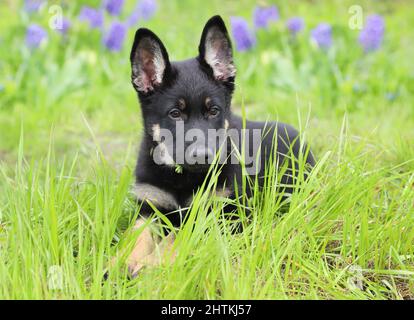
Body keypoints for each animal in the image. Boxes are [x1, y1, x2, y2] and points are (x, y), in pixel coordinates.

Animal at [121, 14, 316, 276]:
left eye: (213, 111)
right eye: (175, 114)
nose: (203, 155)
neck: (181, 177)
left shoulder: (220, 214)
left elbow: (177, 236)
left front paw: (151, 263)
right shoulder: (150, 209)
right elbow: (135, 237)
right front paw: (120, 261)